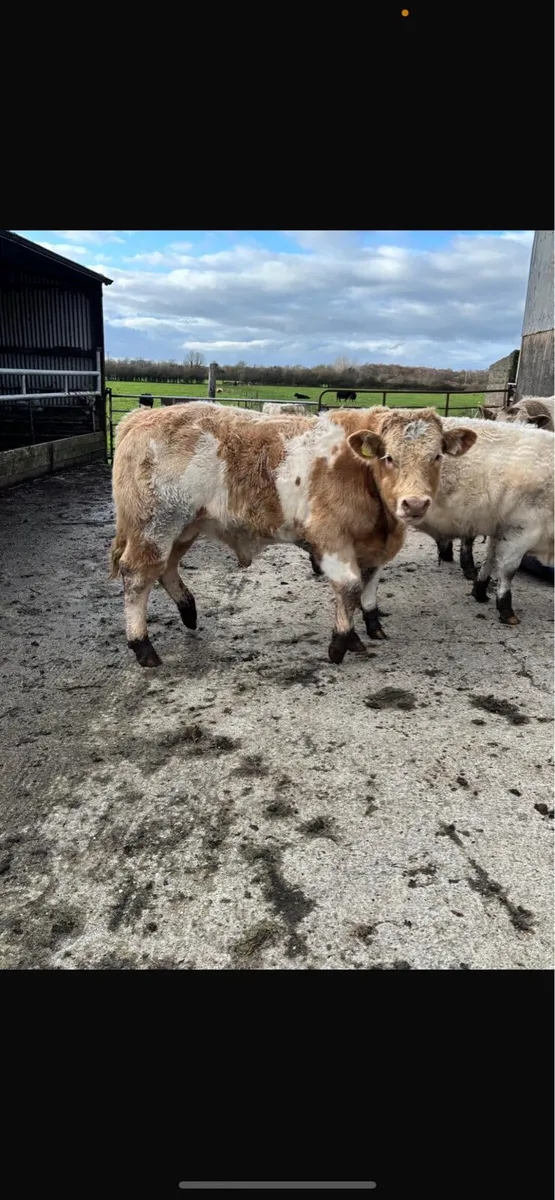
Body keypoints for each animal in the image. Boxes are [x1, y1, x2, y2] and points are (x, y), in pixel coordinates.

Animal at [110, 403, 475, 667]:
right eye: (389, 457)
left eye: (437, 456)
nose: (415, 503)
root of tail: (140, 417)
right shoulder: (331, 536)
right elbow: (350, 587)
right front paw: (341, 642)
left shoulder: (374, 545)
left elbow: (369, 584)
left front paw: (370, 628)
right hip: (154, 526)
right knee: (138, 576)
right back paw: (143, 647)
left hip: (182, 528)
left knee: (166, 569)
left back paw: (188, 610)